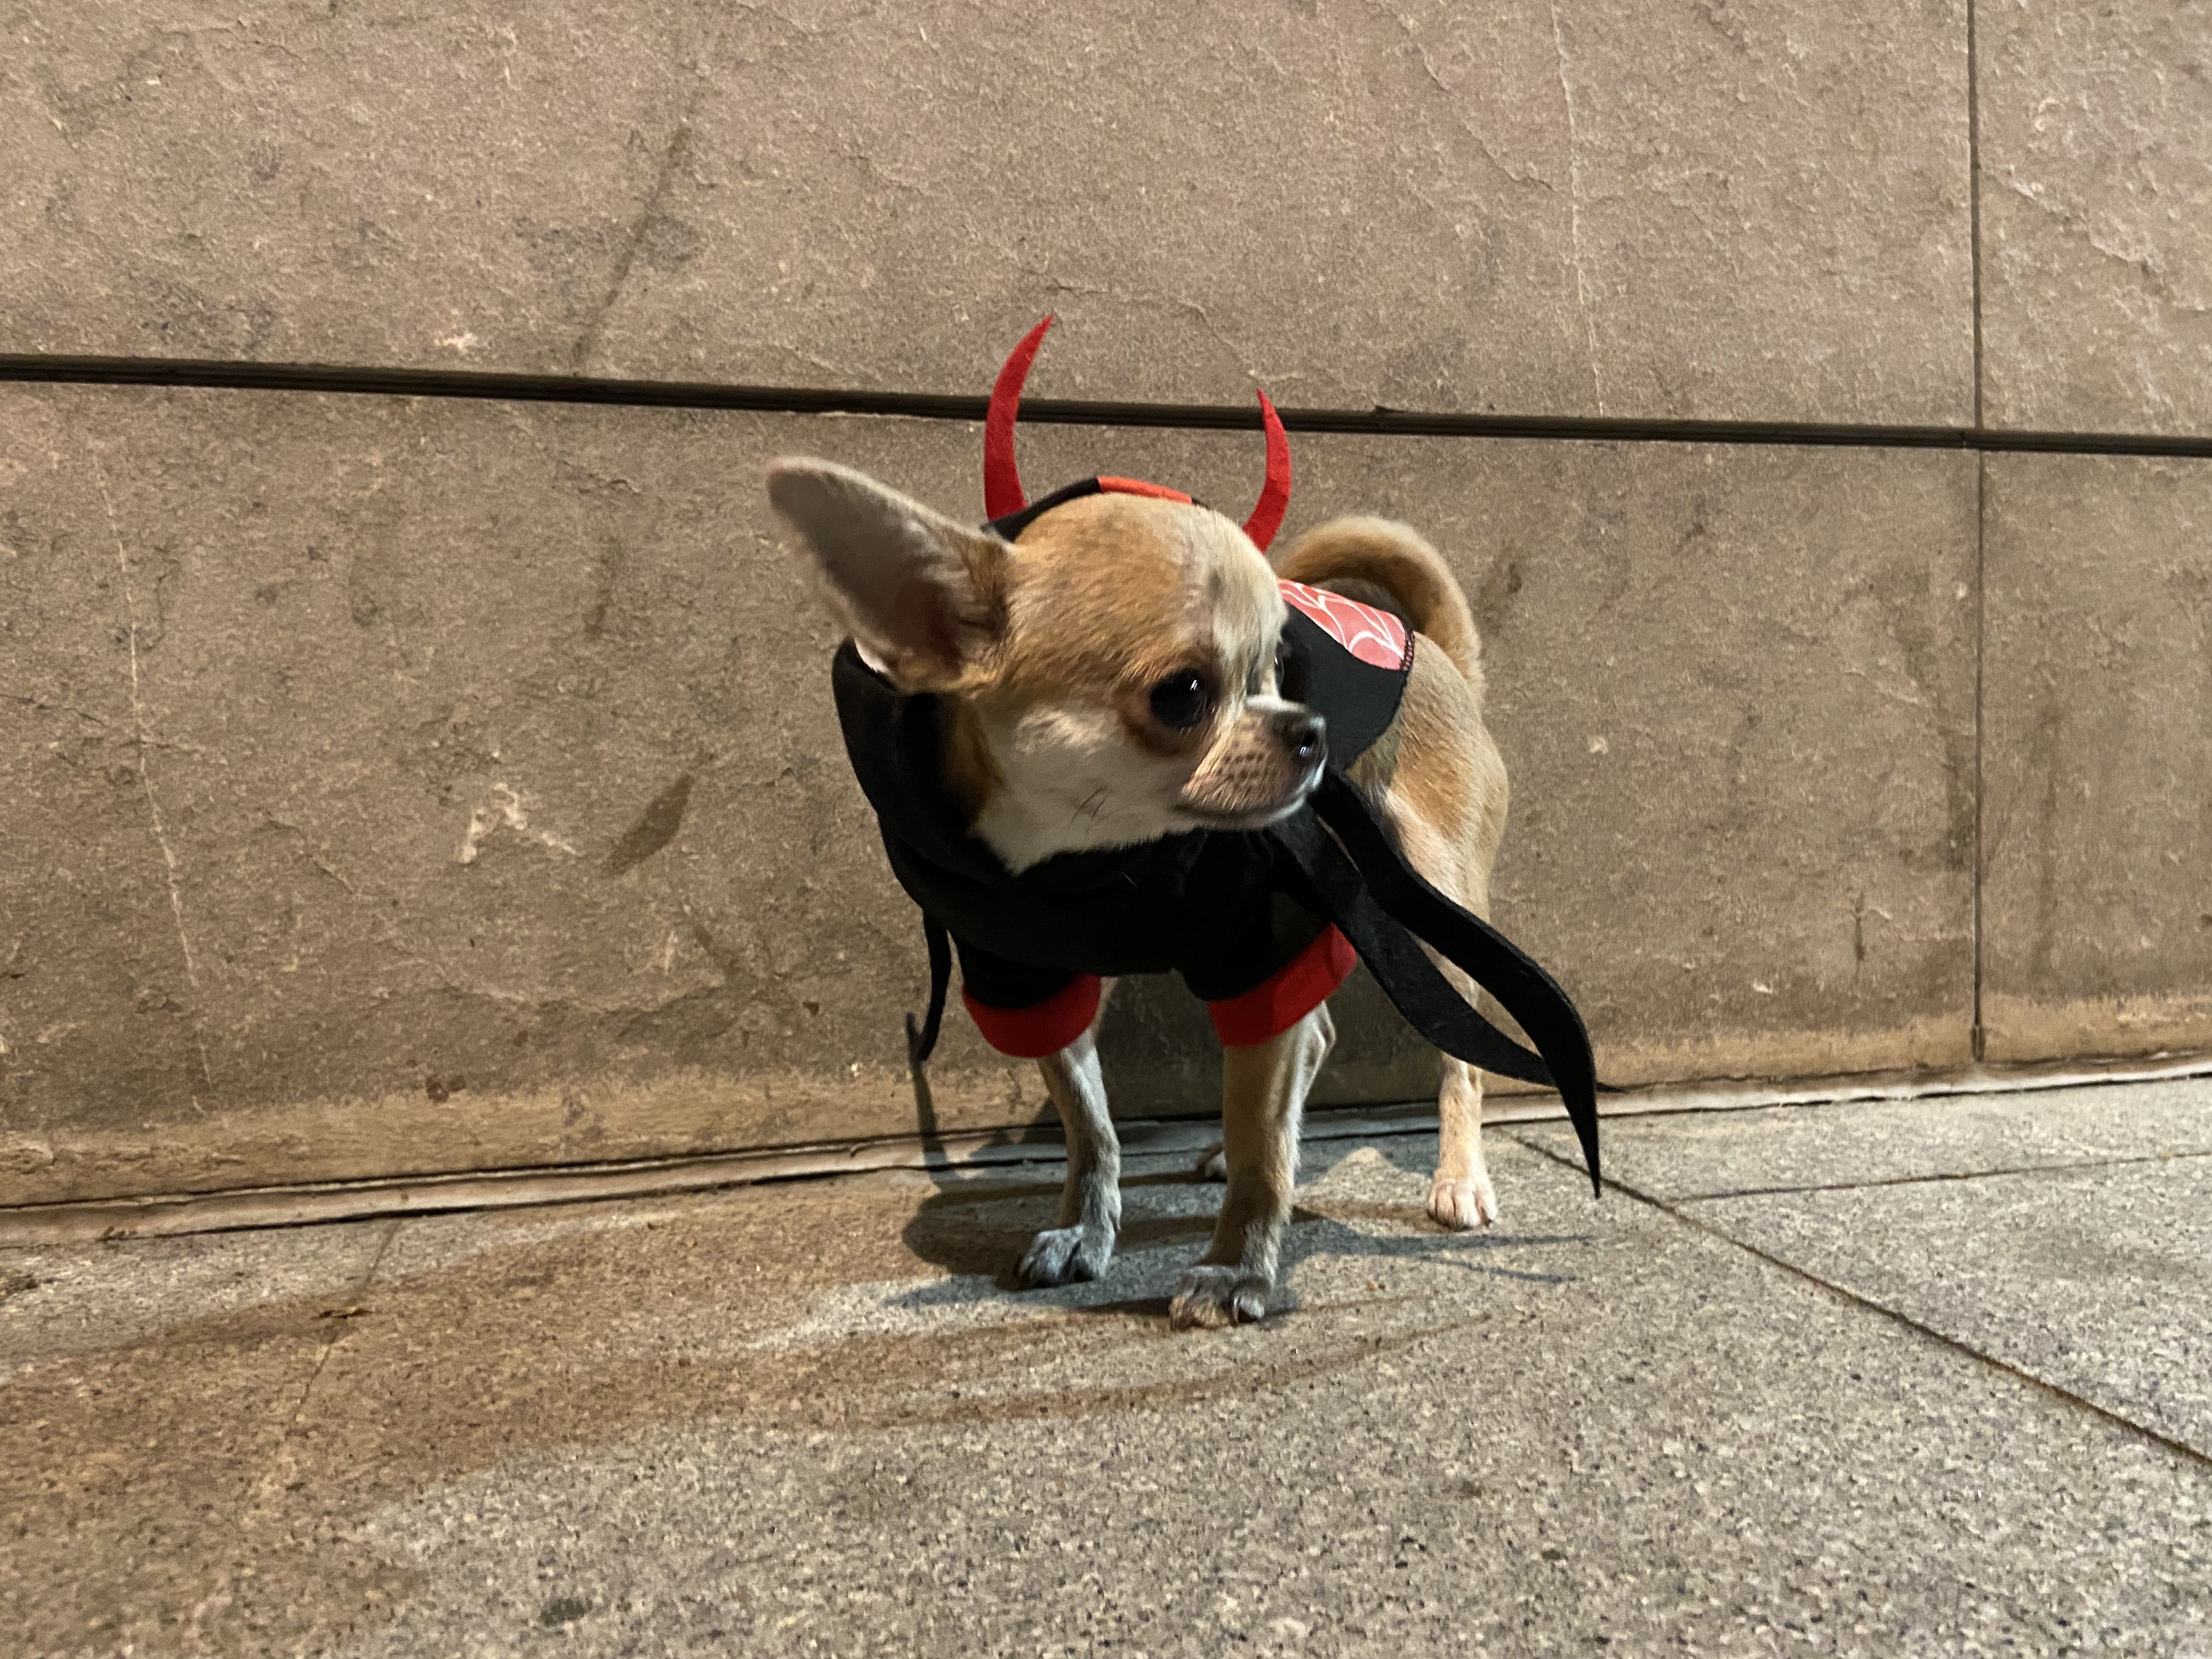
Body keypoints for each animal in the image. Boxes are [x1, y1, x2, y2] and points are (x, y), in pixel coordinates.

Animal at [770, 449, 1513, 1336]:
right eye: (1183, 695)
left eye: (1278, 668)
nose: (1313, 730)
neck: (1091, 857)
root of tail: (1440, 656)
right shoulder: (1027, 981)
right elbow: (1092, 1129)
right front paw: (1085, 1229)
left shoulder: (1261, 951)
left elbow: (1263, 1152)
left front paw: (1235, 1266)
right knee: (1317, 1039)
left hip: (1442, 904)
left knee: (1458, 1061)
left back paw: (1458, 1175)